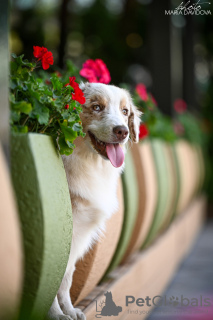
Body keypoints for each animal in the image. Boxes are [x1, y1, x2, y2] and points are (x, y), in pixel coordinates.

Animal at [48, 83, 141, 320]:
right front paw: (55, 314)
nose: (122, 131)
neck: (90, 164)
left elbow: (66, 278)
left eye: (125, 111)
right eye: (97, 107)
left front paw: (69, 310)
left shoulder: (78, 235)